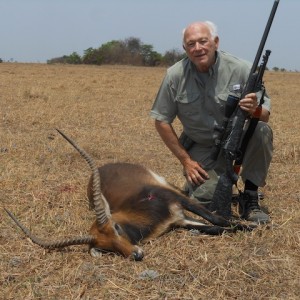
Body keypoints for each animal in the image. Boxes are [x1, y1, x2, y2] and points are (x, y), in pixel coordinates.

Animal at [4, 129, 253, 260]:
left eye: (116, 227)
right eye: (106, 248)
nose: (136, 254)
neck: (144, 206)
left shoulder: (178, 201)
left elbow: (215, 218)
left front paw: (251, 225)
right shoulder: (178, 220)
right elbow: (215, 228)